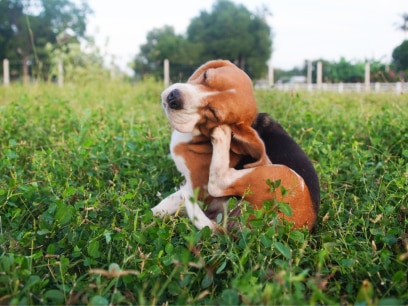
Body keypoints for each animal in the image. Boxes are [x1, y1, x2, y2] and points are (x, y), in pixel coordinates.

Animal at [151, 59, 320, 231]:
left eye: (213, 112)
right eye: (205, 76)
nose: (173, 98)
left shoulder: (198, 187)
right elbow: (169, 201)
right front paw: (154, 215)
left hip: (281, 176)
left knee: (219, 182)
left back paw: (223, 135)